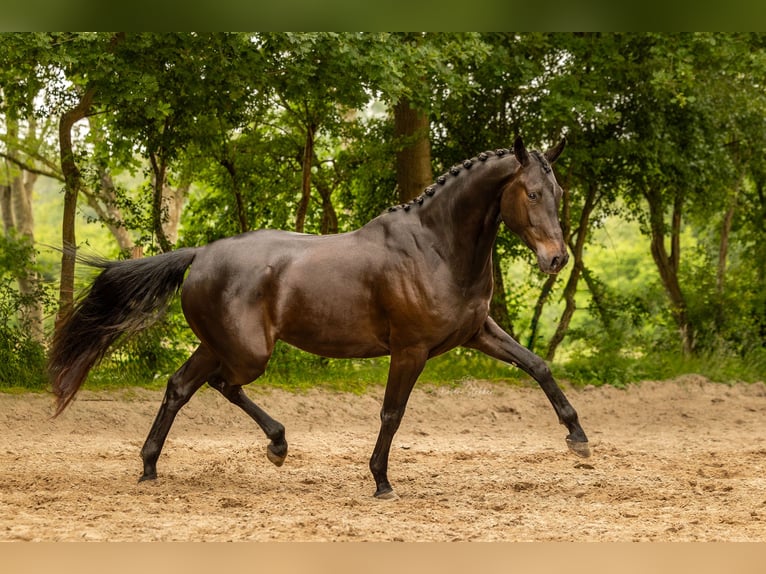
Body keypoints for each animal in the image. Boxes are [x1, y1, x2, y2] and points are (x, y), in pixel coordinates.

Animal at [48, 137, 592, 502]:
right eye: (531, 193)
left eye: (559, 192)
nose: (556, 260)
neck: (437, 248)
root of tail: (200, 254)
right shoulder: (410, 349)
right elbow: (392, 413)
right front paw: (381, 481)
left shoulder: (477, 333)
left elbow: (538, 365)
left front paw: (578, 439)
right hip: (248, 353)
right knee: (221, 385)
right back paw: (275, 445)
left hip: (220, 345)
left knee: (180, 386)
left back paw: (153, 467)